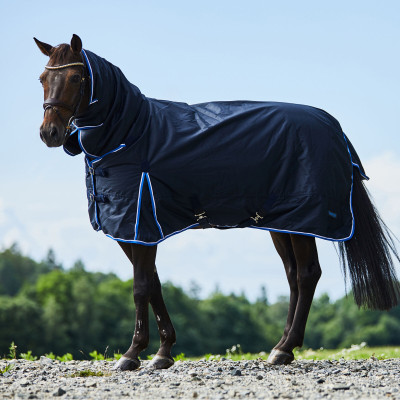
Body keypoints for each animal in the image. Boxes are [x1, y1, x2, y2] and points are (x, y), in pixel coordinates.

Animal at [35, 34, 400, 372]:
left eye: (75, 78)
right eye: (42, 78)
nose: (49, 133)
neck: (129, 133)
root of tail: (335, 129)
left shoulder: (140, 223)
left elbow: (141, 287)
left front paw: (132, 354)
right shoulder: (132, 231)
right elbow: (154, 284)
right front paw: (163, 352)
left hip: (303, 221)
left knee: (308, 274)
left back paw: (285, 350)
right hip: (281, 223)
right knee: (294, 276)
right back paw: (280, 346)